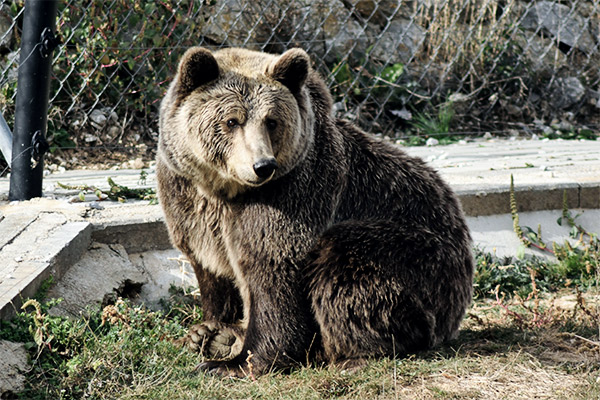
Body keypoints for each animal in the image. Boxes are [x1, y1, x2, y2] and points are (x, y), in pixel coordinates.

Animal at [155, 47, 474, 378]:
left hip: (422, 255)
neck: (225, 190)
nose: (262, 166)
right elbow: (212, 269)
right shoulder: (187, 200)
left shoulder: (293, 193)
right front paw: (209, 330)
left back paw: (349, 353)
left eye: (271, 121)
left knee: (347, 264)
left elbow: (273, 272)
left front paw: (237, 362)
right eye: (232, 121)